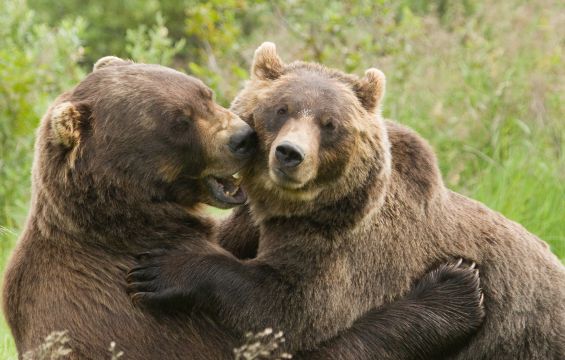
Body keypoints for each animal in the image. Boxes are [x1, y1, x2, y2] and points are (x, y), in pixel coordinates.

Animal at [2, 54, 482, 358]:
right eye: (178, 121)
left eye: (205, 92)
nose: (243, 138)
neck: (130, 222)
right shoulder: (132, 314)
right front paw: (454, 290)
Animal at [126, 43, 564, 360]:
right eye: (280, 109)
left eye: (329, 124)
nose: (289, 153)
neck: (287, 209)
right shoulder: (253, 219)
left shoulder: (350, 252)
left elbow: (288, 308)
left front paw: (164, 269)